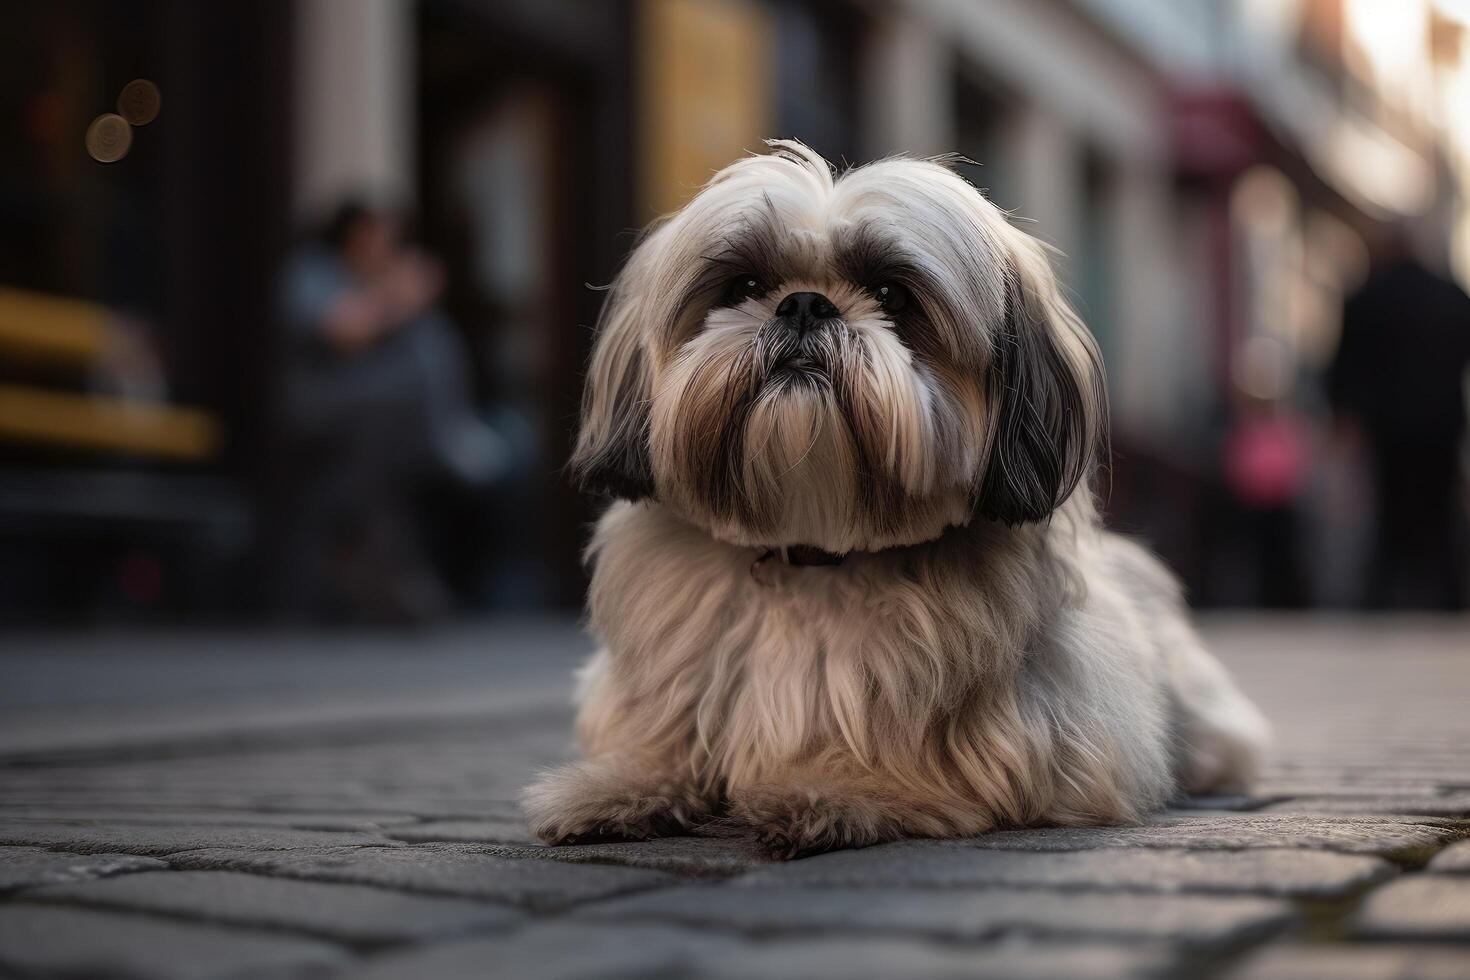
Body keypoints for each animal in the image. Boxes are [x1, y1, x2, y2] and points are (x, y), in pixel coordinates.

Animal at [523, 138, 1270, 858]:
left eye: (893, 293)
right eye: (746, 284)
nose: (804, 303)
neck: (814, 553)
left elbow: (912, 748)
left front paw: (838, 787)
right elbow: (663, 734)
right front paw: (619, 784)